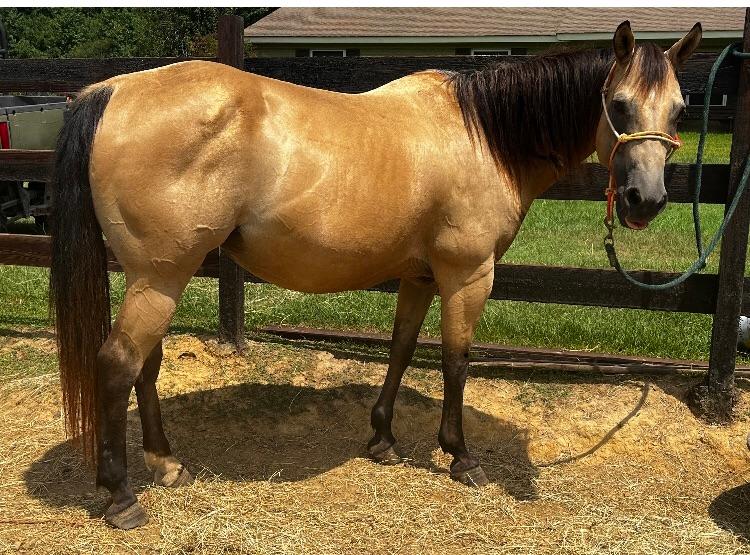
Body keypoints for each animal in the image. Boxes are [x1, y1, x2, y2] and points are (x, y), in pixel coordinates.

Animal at [48, 21, 701, 529]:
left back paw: (165, 464)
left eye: (680, 110)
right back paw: (121, 495)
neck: (482, 135)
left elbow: (402, 348)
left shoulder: (420, 277)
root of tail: (112, 88)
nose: (646, 201)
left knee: (146, 364)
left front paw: (383, 439)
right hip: (161, 276)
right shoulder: (468, 275)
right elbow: (457, 359)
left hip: (150, 277)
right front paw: (459, 455)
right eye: (619, 105)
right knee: (118, 364)